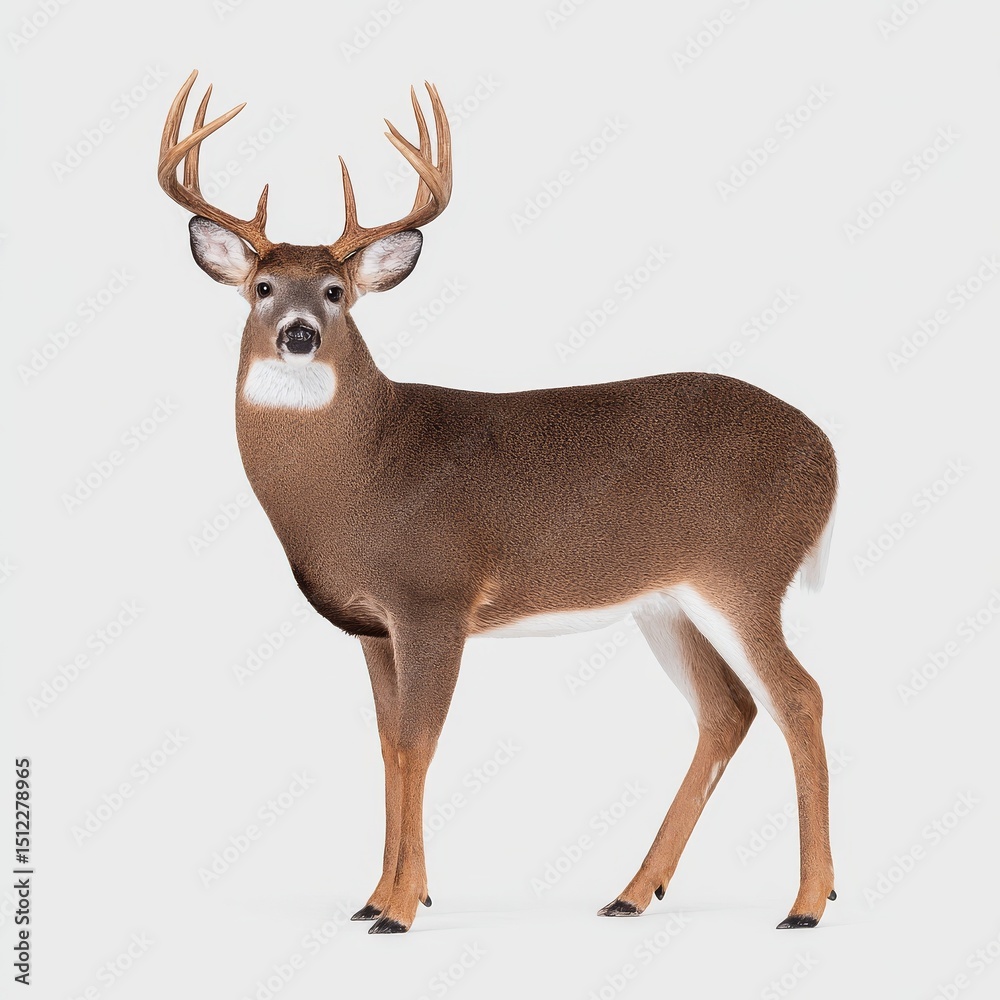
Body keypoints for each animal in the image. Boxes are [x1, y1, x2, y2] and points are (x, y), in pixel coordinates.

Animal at [158, 71, 838, 934]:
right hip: (669, 600)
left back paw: (806, 904)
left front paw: (401, 910)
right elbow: (387, 747)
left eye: (338, 291)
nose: (300, 333)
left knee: (799, 697)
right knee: (729, 711)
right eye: (263, 287)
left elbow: (418, 743)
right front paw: (375, 896)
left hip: (745, 572)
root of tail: (829, 452)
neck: (361, 476)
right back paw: (630, 892)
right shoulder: (375, 627)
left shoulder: (435, 597)